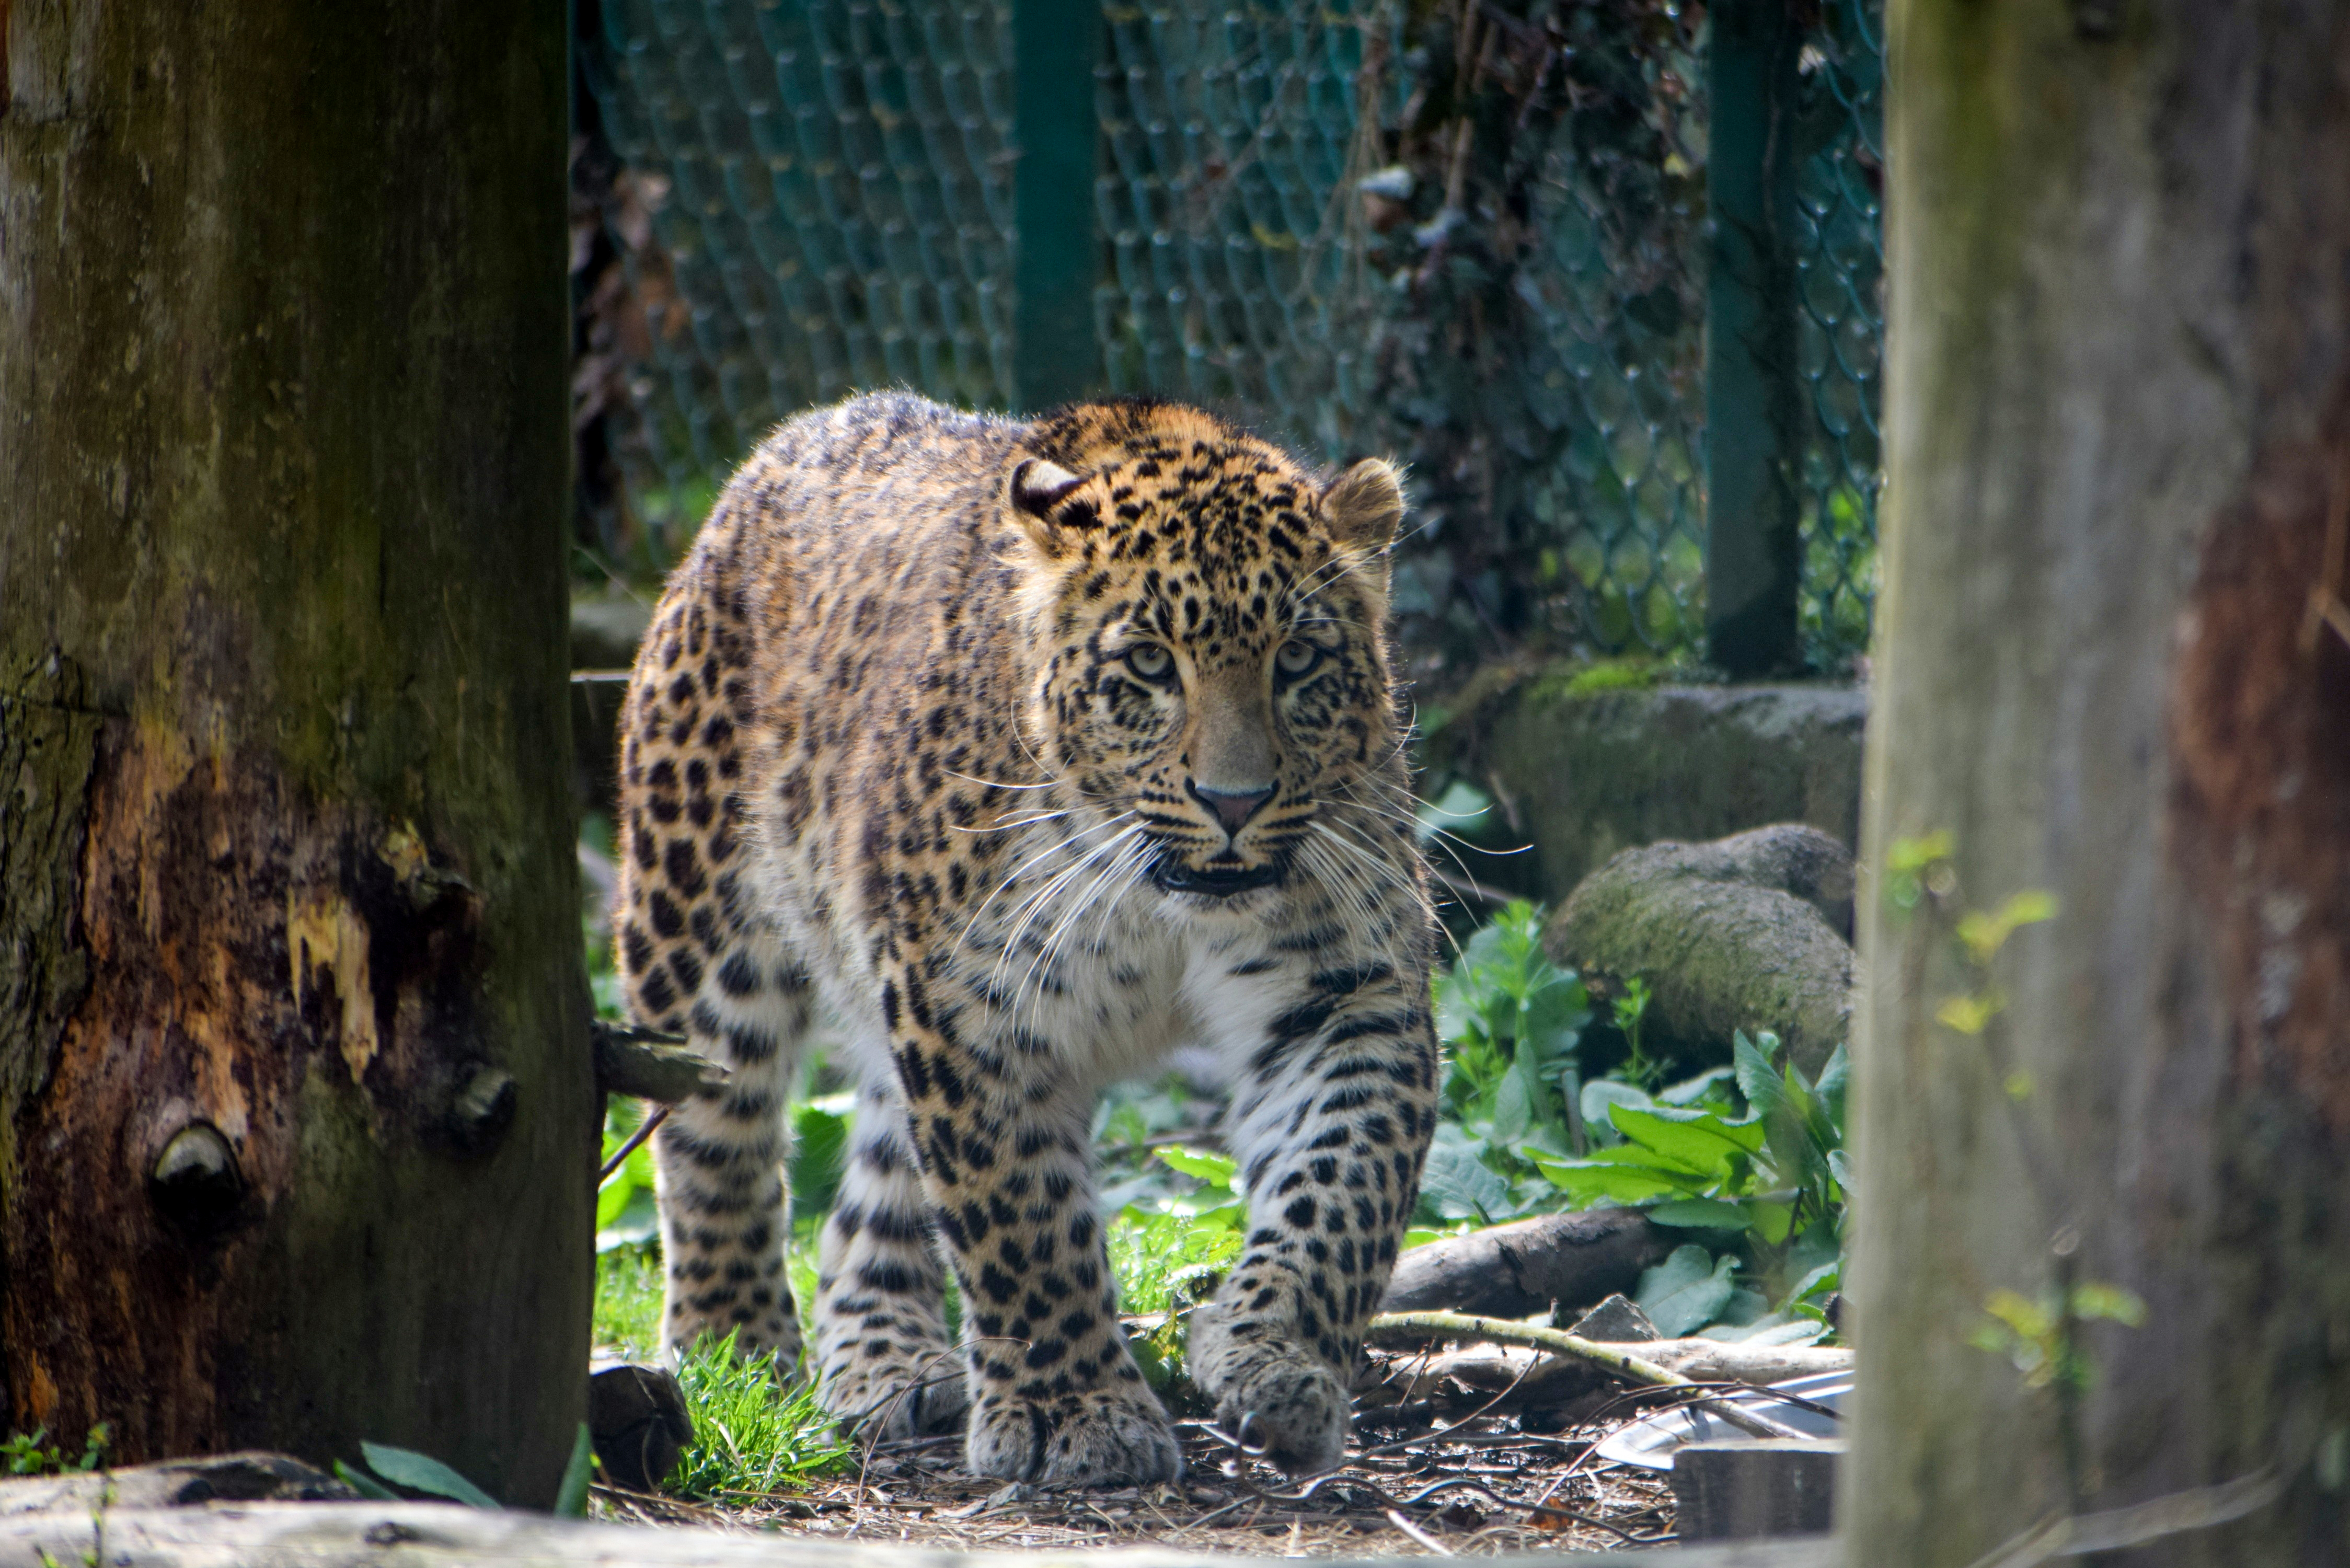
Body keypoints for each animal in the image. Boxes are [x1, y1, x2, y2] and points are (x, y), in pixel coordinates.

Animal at [611, 391, 1440, 1489]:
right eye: (1149, 665)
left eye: (1299, 660)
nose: (1234, 803)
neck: (1160, 906)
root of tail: (783, 444)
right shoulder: (974, 1005)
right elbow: (1019, 1218)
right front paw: (1074, 1414)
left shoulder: (1345, 993)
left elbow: (1342, 1185)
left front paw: (1273, 1356)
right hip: (700, 926)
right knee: (713, 1135)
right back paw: (736, 1349)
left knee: (870, 1192)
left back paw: (888, 1361)